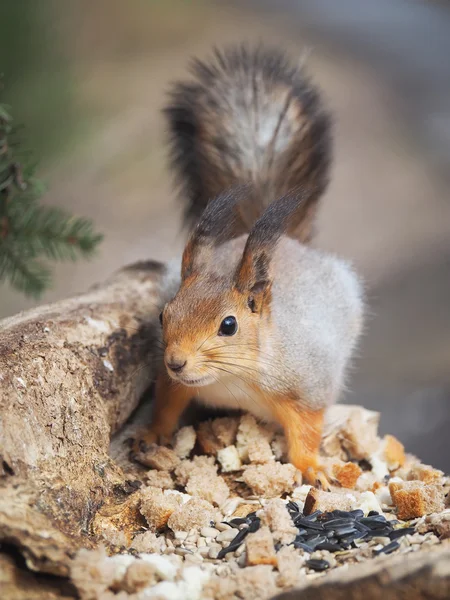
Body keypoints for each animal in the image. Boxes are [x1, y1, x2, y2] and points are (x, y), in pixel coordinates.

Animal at [132, 47, 364, 488]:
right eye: (163, 315)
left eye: (229, 325)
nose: (176, 361)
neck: (232, 379)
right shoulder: (176, 384)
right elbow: (167, 403)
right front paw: (152, 433)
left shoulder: (307, 384)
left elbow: (306, 431)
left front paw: (312, 467)